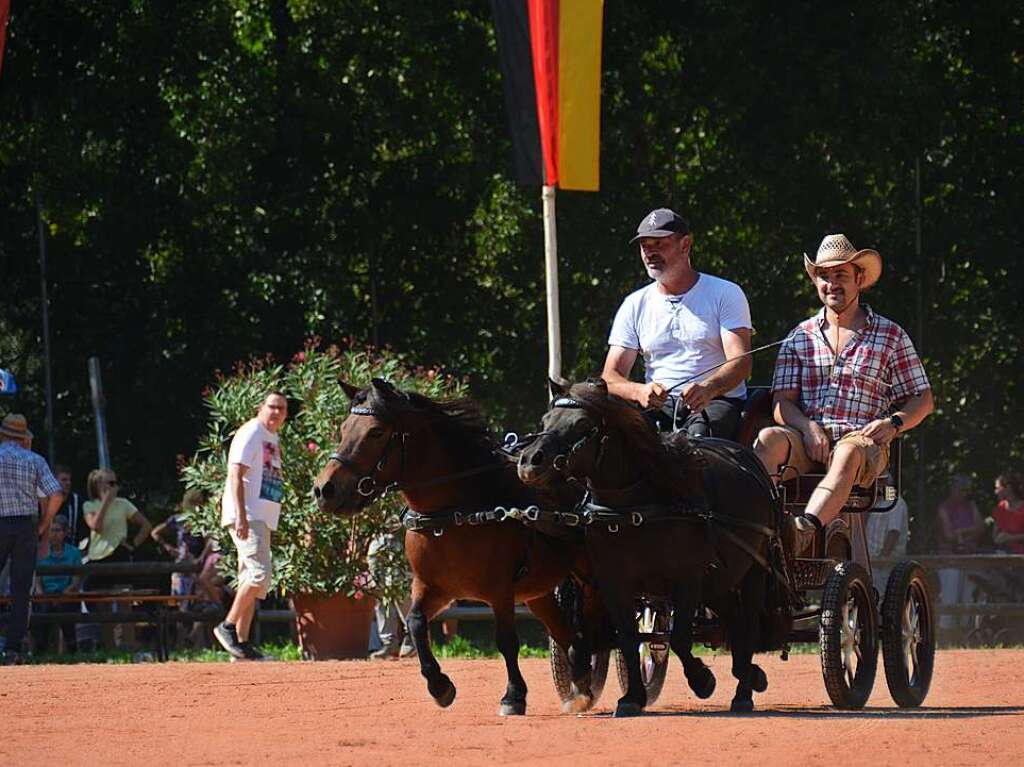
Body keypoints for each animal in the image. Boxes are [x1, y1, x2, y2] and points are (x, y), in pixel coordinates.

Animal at [315, 380, 598, 716]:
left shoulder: (500, 591)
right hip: (538, 593)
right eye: (344, 428)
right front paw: (439, 685)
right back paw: (581, 685)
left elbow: (506, 641)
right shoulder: (434, 588)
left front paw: (513, 696)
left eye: (375, 432)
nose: (324, 489)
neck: (453, 514)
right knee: (567, 634)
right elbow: (415, 622)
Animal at [520, 380, 782, 716]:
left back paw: (743, 693)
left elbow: (680, 638)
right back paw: (750, 674)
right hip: (720, 581)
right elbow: (628, 638)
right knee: (733, 624)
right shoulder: (614, 583)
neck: (635, 508)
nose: (530, 461)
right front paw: (632, 697)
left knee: (746, 628)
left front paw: (702, 680)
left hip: (753, 571)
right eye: (544, 422)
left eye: (581, 425)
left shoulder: (687, 579)